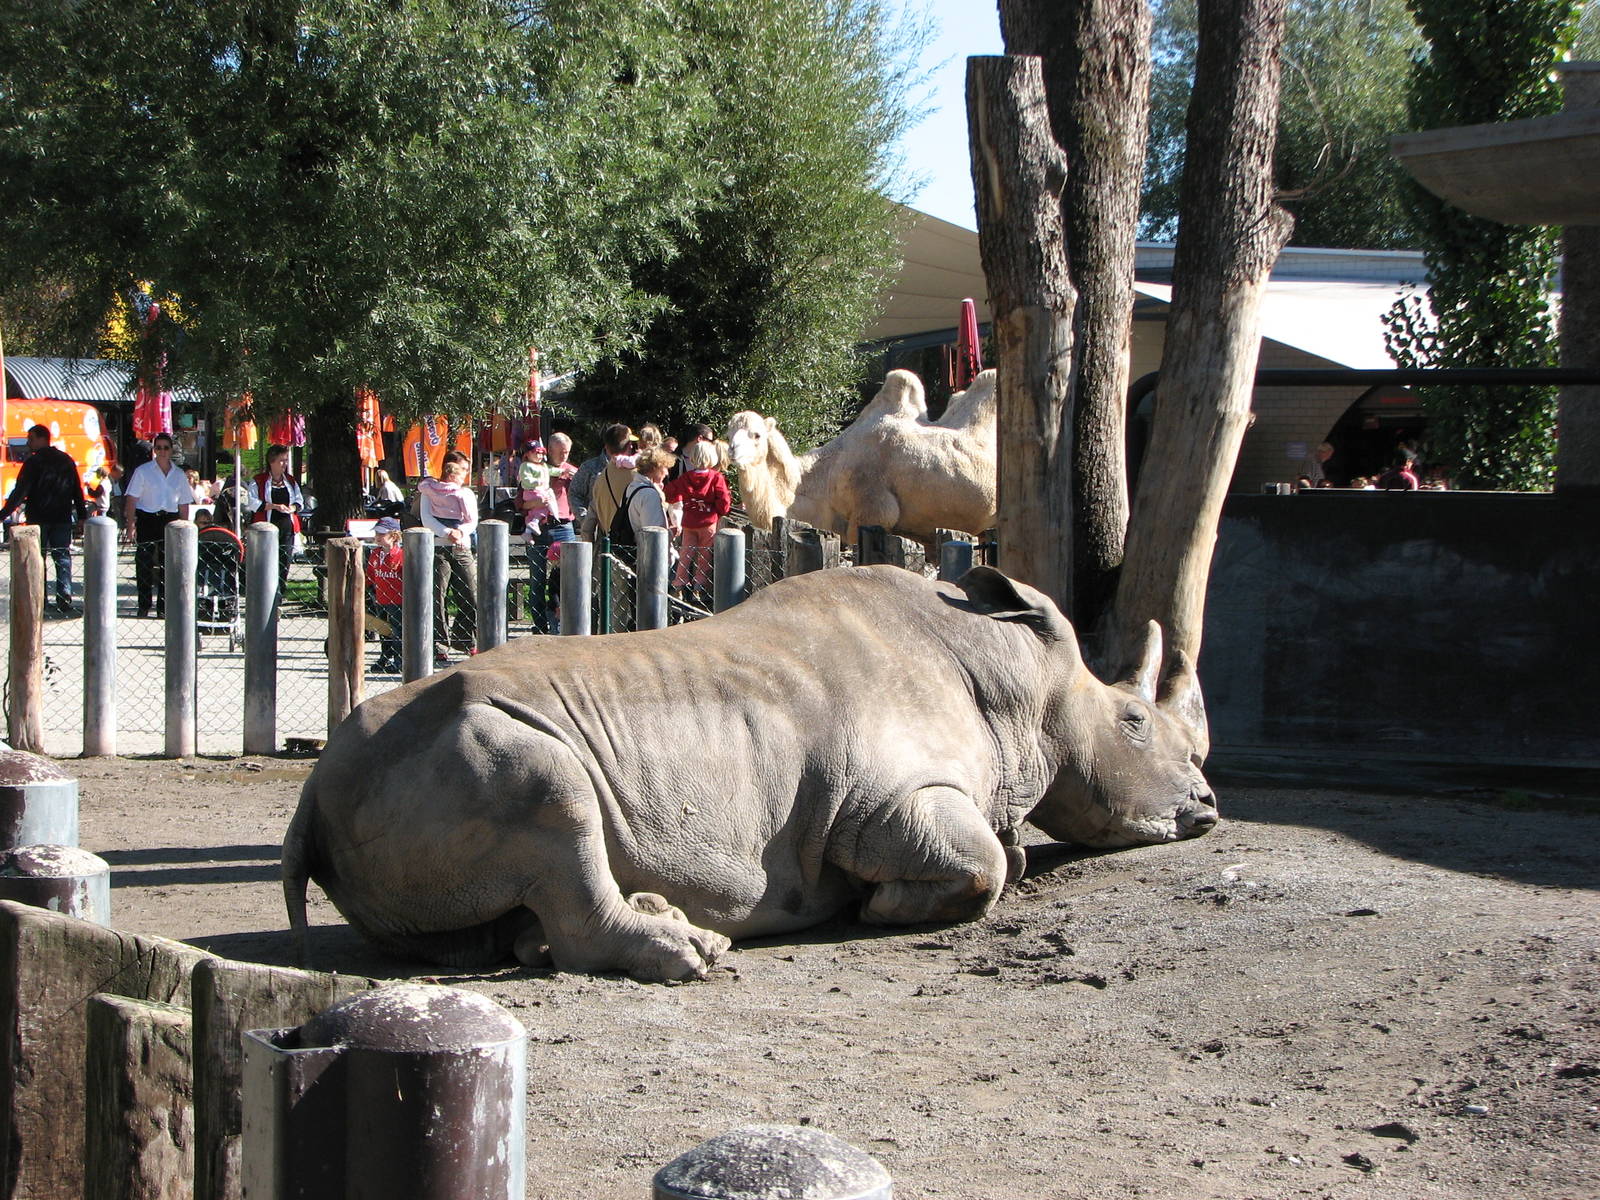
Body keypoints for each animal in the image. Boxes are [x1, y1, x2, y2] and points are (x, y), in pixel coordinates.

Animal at [283, 565, 1216, 982]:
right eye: (1134, 724)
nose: (1207, 805)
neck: (1019, 683)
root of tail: (310, 795)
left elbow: (1006, 853)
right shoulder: (880, 803)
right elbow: (983, 863)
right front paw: (880, 908)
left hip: (390, 782)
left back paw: (548, 939)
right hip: (466, 750)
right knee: (555, 795)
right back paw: (693, 951)